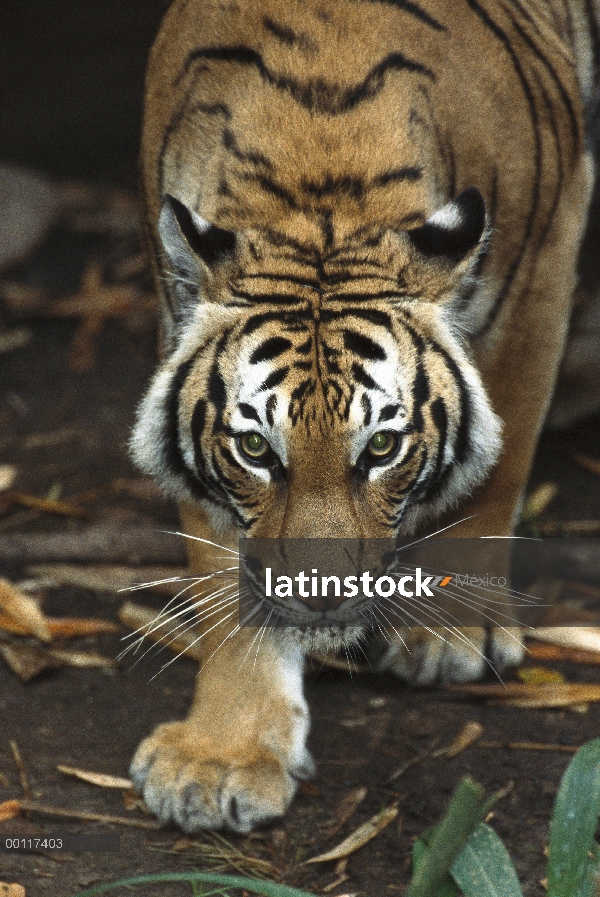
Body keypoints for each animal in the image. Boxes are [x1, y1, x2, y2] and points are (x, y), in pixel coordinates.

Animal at [127, 0, 600, 832]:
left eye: (381, 446)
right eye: (256, 448)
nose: (319, 595)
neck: (318, 189)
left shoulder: (546, 251)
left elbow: (497, 461)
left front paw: (453, 626)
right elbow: (218, 559)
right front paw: (221, 756)